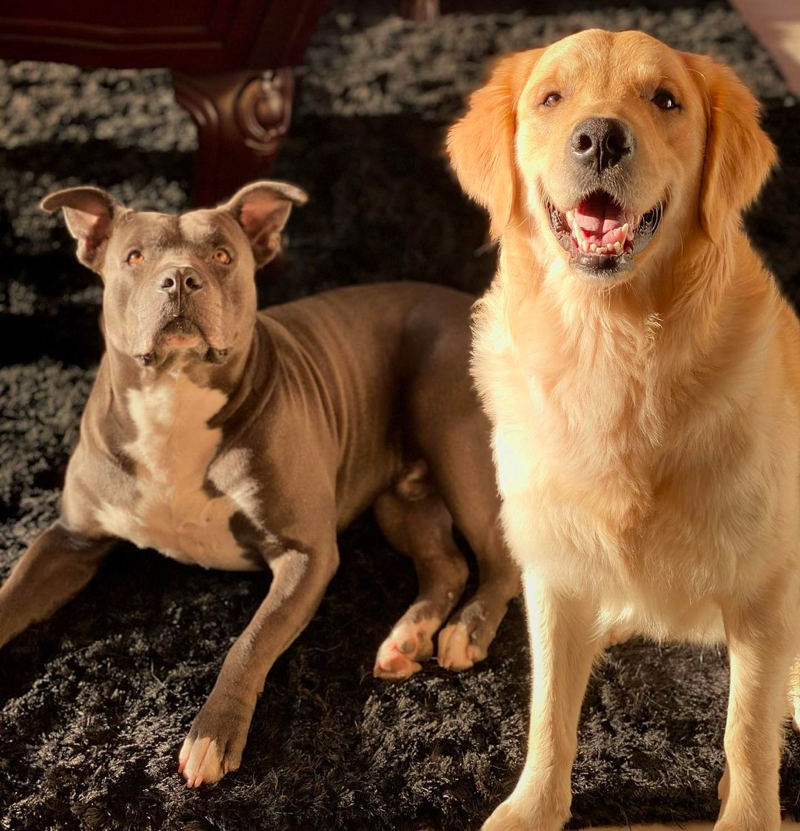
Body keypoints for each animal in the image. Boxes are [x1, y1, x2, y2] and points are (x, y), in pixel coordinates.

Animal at [0, 182, 520, 788]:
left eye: (223, 256)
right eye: (134, 257)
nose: (181, 278)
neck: (173, 397)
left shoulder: (305, 553)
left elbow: (248, 643)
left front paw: (212, 735)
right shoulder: (69, 538)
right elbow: (11, 595)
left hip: (456, 438)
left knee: (502, 560)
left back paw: (467, 632)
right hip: (403, 497)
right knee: (448, 564)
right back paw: (406, 638)